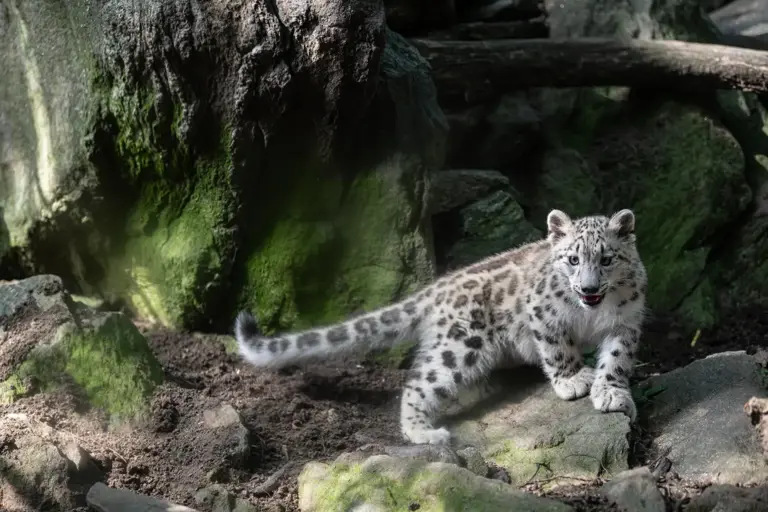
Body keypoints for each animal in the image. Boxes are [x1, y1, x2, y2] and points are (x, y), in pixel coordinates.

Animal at [234, 208, 647, 445]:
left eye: (606, 259)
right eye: (573, 259)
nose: (589, 288)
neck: (592, 313)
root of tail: (438, 287)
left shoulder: (626, 324)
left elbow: (616, 360)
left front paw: (611, 393)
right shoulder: (544, 314)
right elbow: (559, 349)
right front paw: (574, 380)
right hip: (461, 346)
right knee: (419, 382)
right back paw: (423, 432)